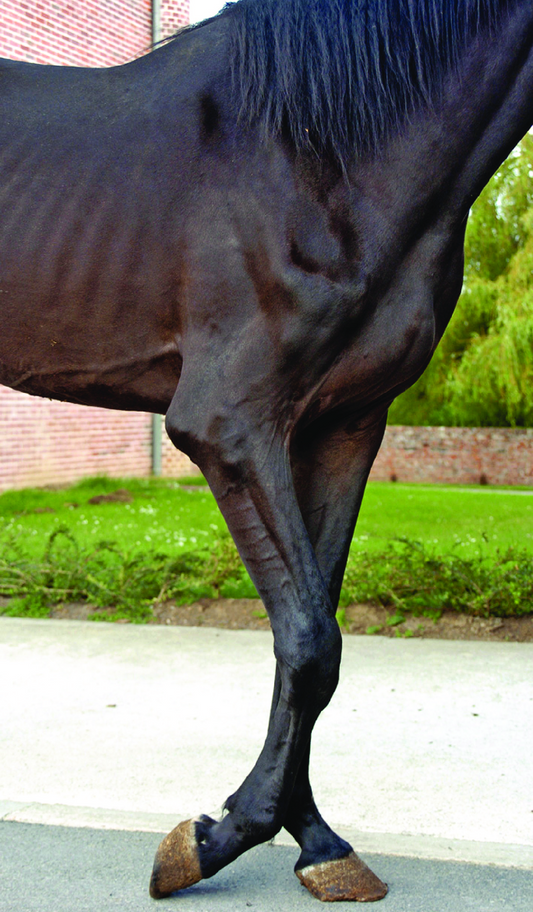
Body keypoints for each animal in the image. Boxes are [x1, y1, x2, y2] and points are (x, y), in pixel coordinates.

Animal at [1, 0, 532, 902]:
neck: (324, 154)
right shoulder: (230, 423)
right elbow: (311, 641)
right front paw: (213, 839)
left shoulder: (343, 425)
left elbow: (310, 639)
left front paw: (315, 841)